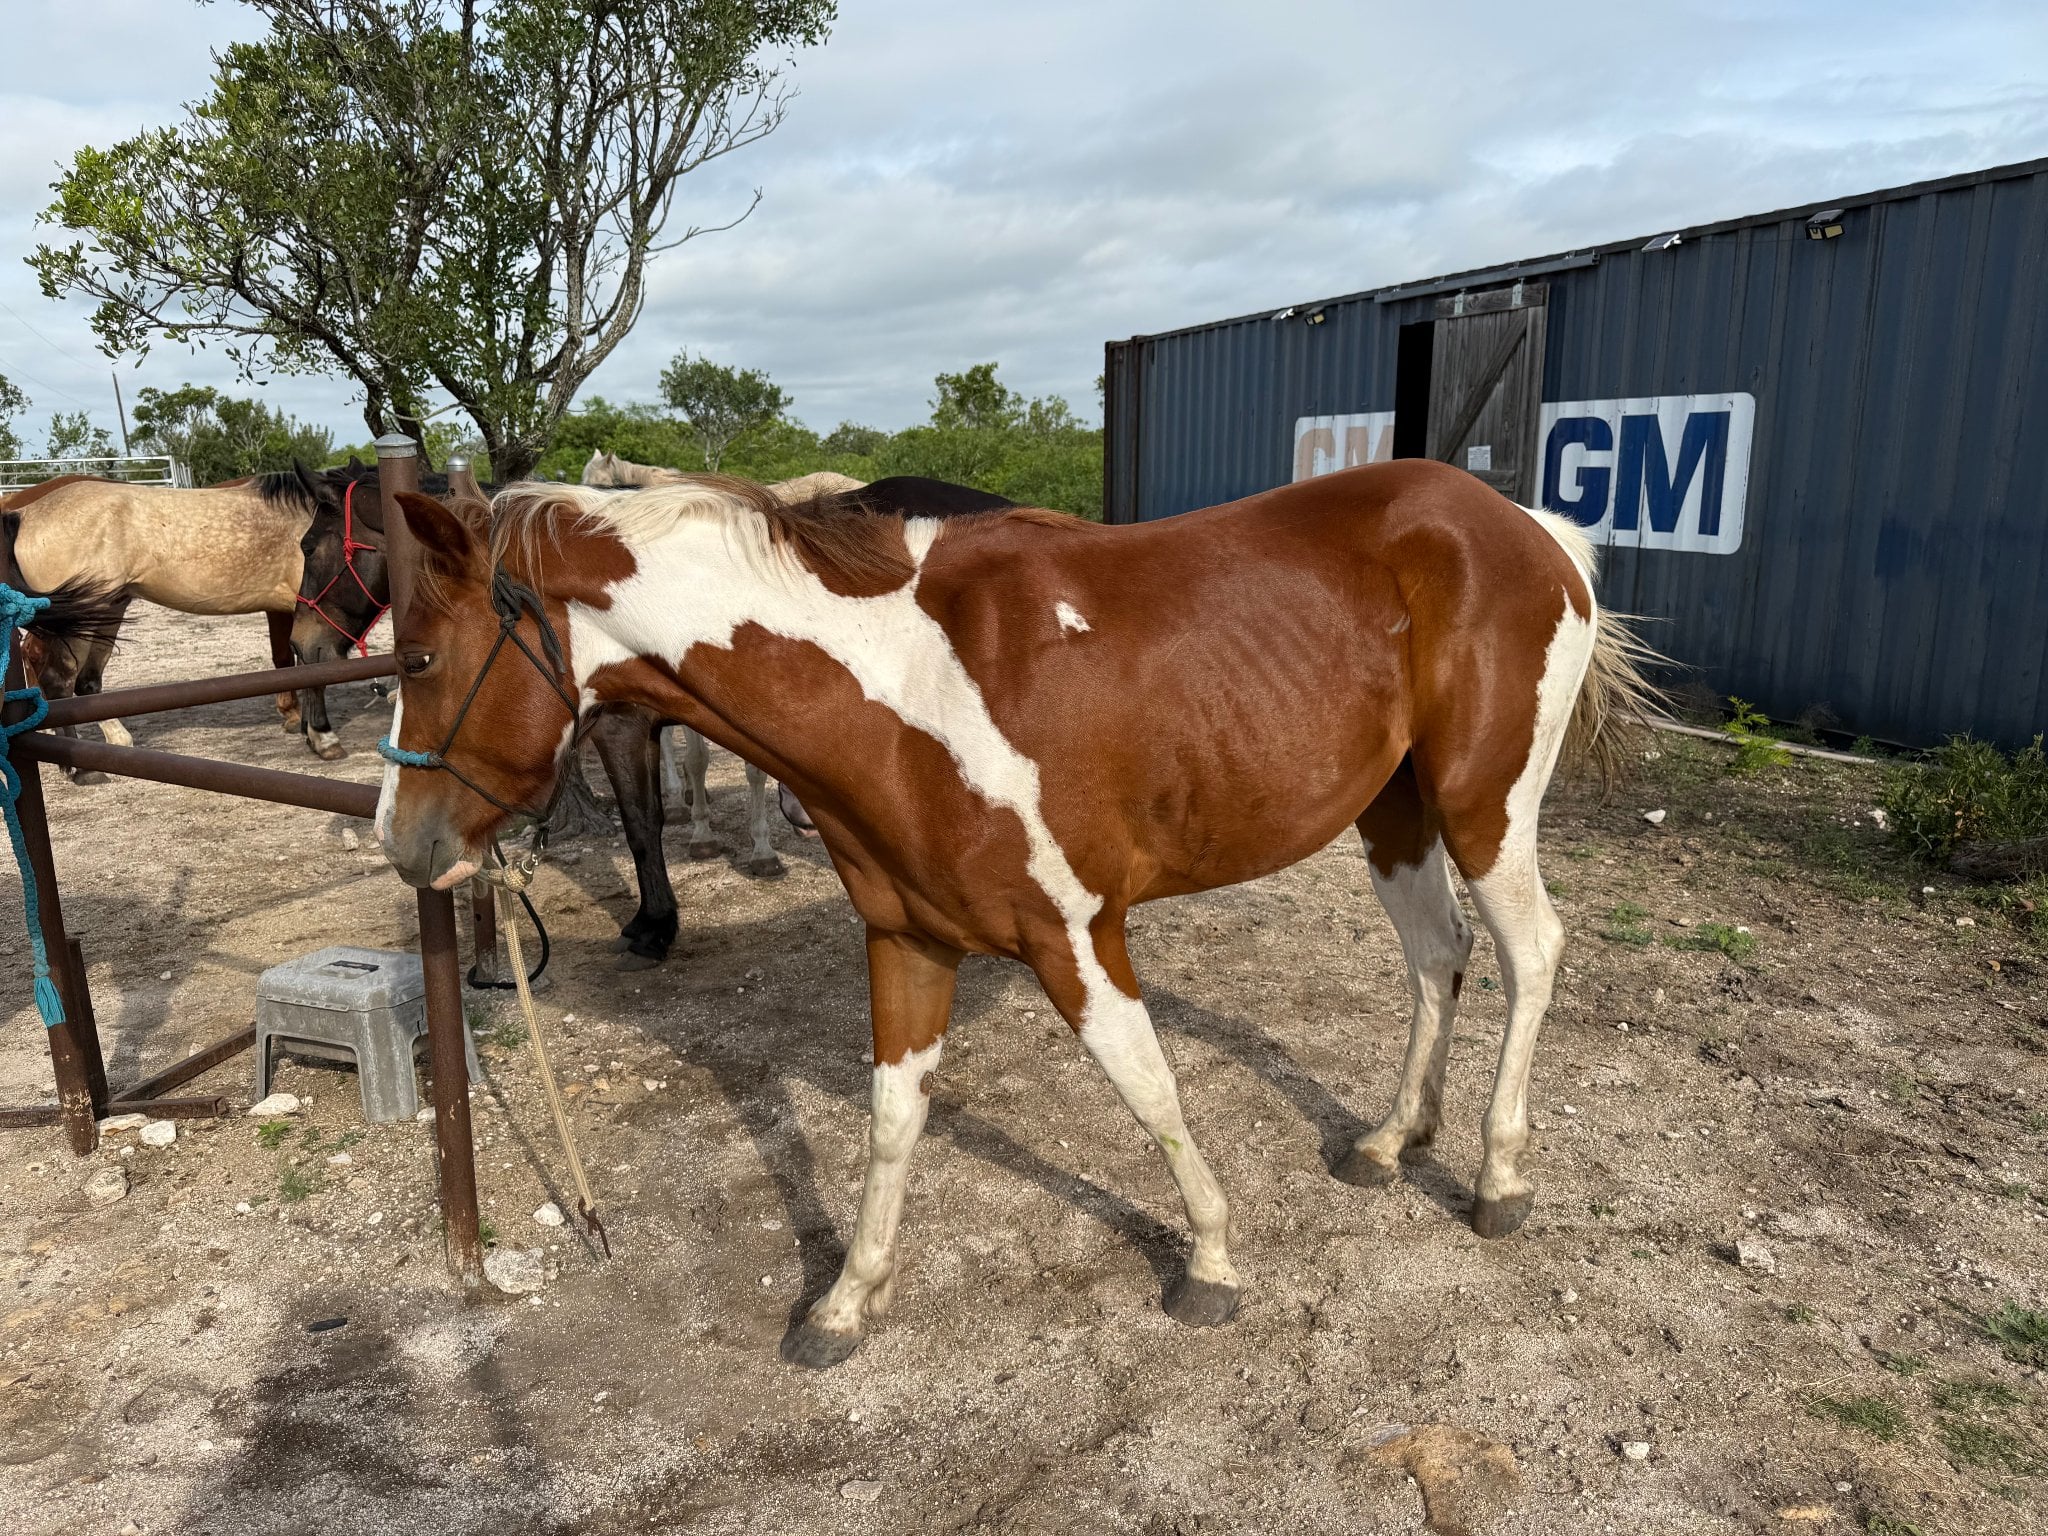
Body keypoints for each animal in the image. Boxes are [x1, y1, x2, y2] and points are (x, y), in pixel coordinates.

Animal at [3, 467, 340, 780]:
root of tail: (22, 513)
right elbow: (314, 668)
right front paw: (321, 737)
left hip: (104, 611)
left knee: (86, 680)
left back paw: (115, 742)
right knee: (58, 677)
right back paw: (79, 767)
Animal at [370, 458, 1653, 1367]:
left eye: (420, 657)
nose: (403, 844)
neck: (897, 686)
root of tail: (1526, 527)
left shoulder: (1076, 937)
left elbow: (1151, 1093)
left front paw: (1211, 1261)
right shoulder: (906, 940)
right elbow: (893, 1119)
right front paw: (846, 1302)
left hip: (1483, 806)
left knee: (1529, 953)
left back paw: (1494, 1180)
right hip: (1392, 814)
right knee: (1436, 956)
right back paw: (1393, 1139)